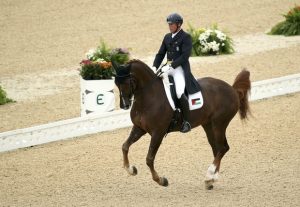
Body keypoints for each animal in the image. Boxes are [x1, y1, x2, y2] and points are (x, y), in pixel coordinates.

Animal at [112, 59, 251, 189]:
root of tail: (232, 89)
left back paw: (209, 175)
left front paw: (161, 180)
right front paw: (131, 170)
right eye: (116, 83)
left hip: (219, 123)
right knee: (217, 149)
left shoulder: (158, 133)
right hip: (208, 125)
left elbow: (149, 159)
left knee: (222, 148)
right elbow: (125, 146)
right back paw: (211, 179)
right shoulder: (139, 128)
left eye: (128, 82)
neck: (148, 97)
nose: (124, 105)